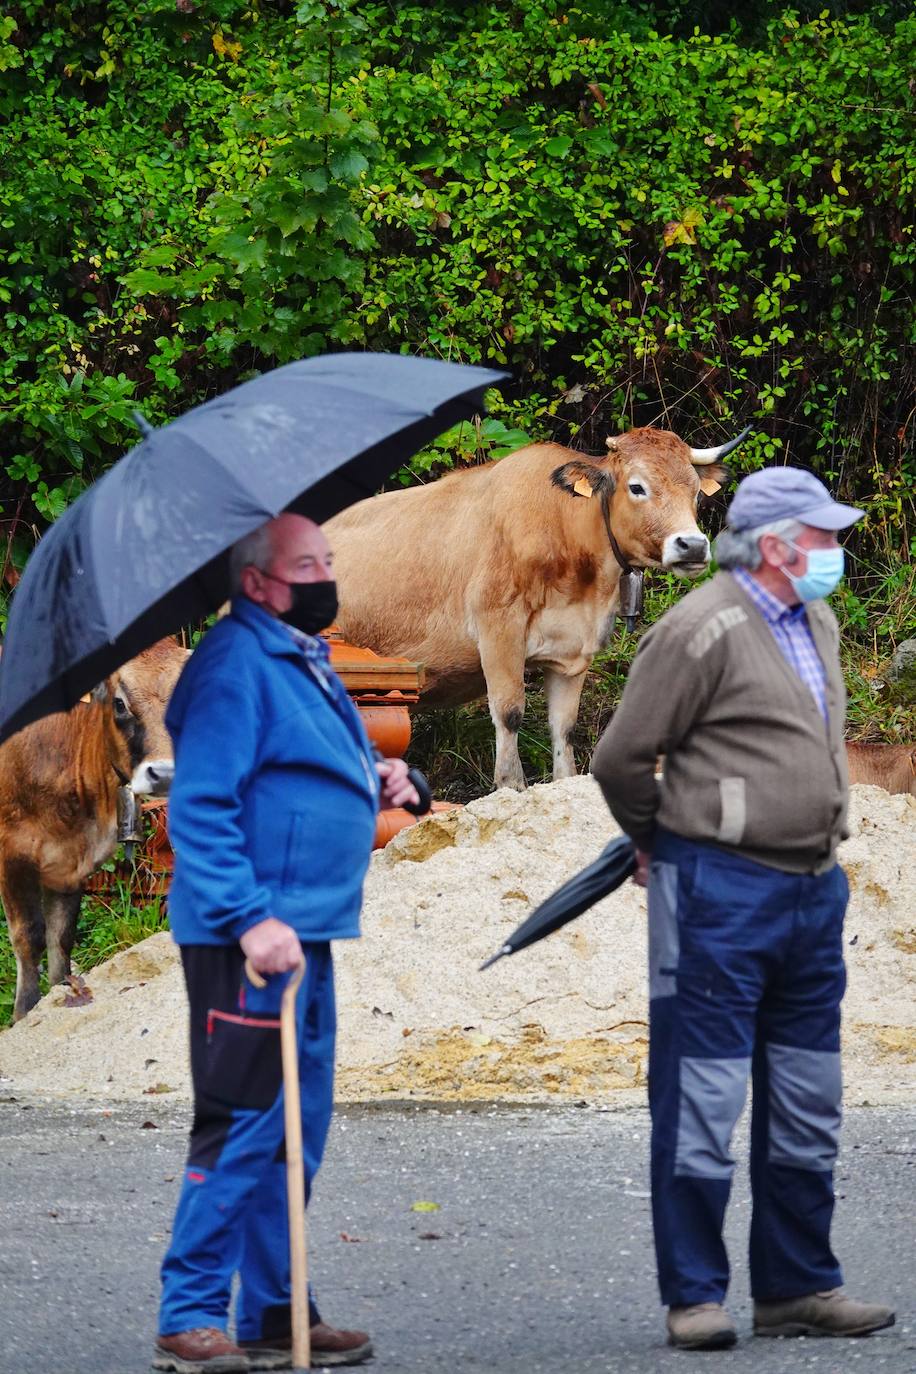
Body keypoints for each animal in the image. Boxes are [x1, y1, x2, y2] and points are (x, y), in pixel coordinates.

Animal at [0, 634, 188, 1022]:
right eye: (119, 703)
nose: (165, 774)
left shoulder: (70, 861)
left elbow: (61, 934)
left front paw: (61, 992)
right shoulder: (12, 850)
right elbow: (30, 935)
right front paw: (25, 1012)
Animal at [325, 423, 747, 791]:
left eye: (696, 490)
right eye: (637, 487)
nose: (693, 545)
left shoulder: (574, 649)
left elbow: (564, 726)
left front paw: (563, 781)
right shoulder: (499, 629)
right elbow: (509, 710)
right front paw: (511, 786)